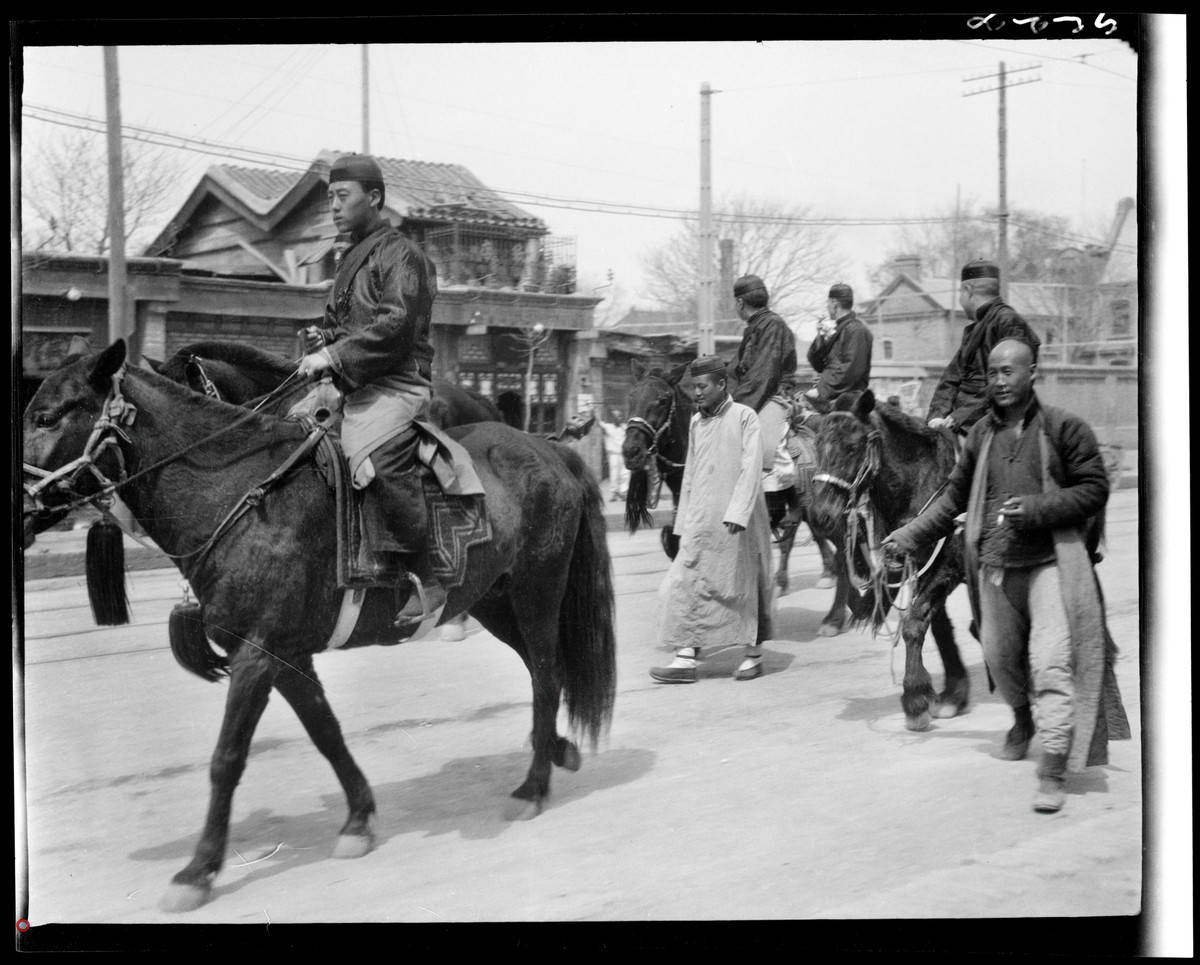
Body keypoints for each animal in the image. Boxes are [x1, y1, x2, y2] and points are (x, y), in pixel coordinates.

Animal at [22, 338, 614, 912]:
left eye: (46, 417)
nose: (20, 510)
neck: (242, 491)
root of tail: (550, 447)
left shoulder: (255, 654)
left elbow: (227, 758)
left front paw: (198, 870)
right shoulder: (285, 656)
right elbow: (325, 731)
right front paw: (358, 819)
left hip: (538, 592)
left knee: (545, 673)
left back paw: (533, 786)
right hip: (495, 600)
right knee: (543, 672)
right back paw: (554, 748)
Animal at [619, 360, 835, 588]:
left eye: (662, 400)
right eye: (632, 396)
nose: (631, 451)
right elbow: (673, 542)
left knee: (811, 531)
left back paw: (823, 574)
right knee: (799, 534)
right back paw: (792, 578)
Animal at [801, 388, 969, 729]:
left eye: (853, 446)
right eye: (818, 443)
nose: (821, 515)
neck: (926, 483)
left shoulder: (948, 566)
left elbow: (915, 622)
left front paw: (915, 699)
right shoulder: (923, 567)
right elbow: (937, 624)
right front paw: (951, 692)